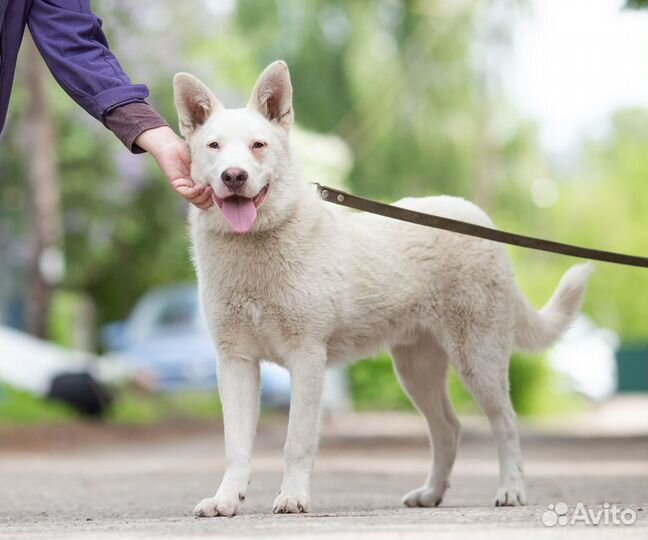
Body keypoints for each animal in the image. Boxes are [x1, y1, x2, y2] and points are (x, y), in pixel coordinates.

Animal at [173, 61, 592, 516]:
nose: (234, 176)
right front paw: (225, 500)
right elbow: (235, 447)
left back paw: (512, 489)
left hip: (478, 359)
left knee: (506, 424)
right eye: (214, 146)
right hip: (416, 369)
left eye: (258, 145)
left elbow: (296, 442)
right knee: (448, 427)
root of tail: (483, 223)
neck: (254, 249)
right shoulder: (234, 363)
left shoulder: (307, 357)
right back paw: (431, 493)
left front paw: (293, 496)